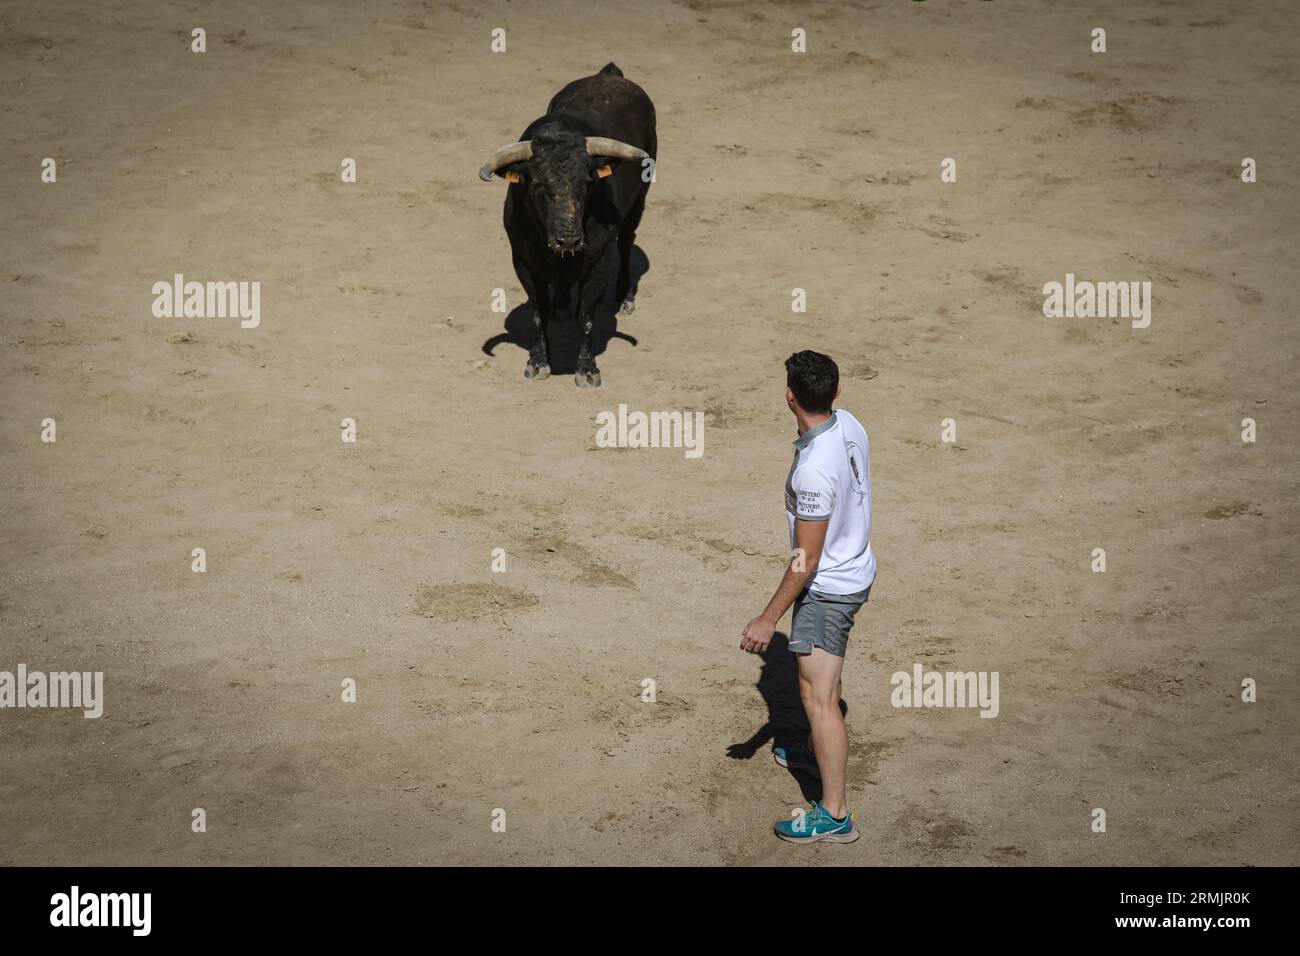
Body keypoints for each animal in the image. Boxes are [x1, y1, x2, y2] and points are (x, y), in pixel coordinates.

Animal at [480, 63, 660, 387]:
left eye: (588, 181)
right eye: (537, 184)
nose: (569, 241)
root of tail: (610, 74)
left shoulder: (599, 261)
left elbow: (586, 316)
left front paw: (587, 370)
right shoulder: (523, 260)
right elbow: (538, 312)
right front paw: (538, 363)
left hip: (641, 197)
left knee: (628, 239)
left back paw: (624, 297)